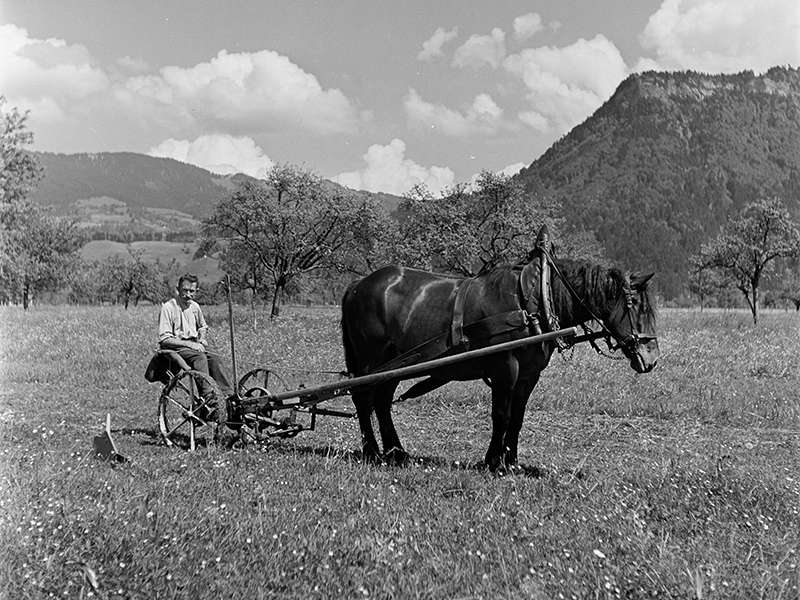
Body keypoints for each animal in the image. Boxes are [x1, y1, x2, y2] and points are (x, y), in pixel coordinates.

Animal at [340, 251, 660, 472]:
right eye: (636, 306)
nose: (652, 358)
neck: (533, 302)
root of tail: (357, 284)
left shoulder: (529, 375)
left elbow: (517, 418)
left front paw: (512, 460)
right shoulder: (505, 368)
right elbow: (501, 415)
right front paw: (494, 461)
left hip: (394, 364)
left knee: (382, 403)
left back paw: (395, 452)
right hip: (370, 361)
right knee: (363, 399)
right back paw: (372, 451)